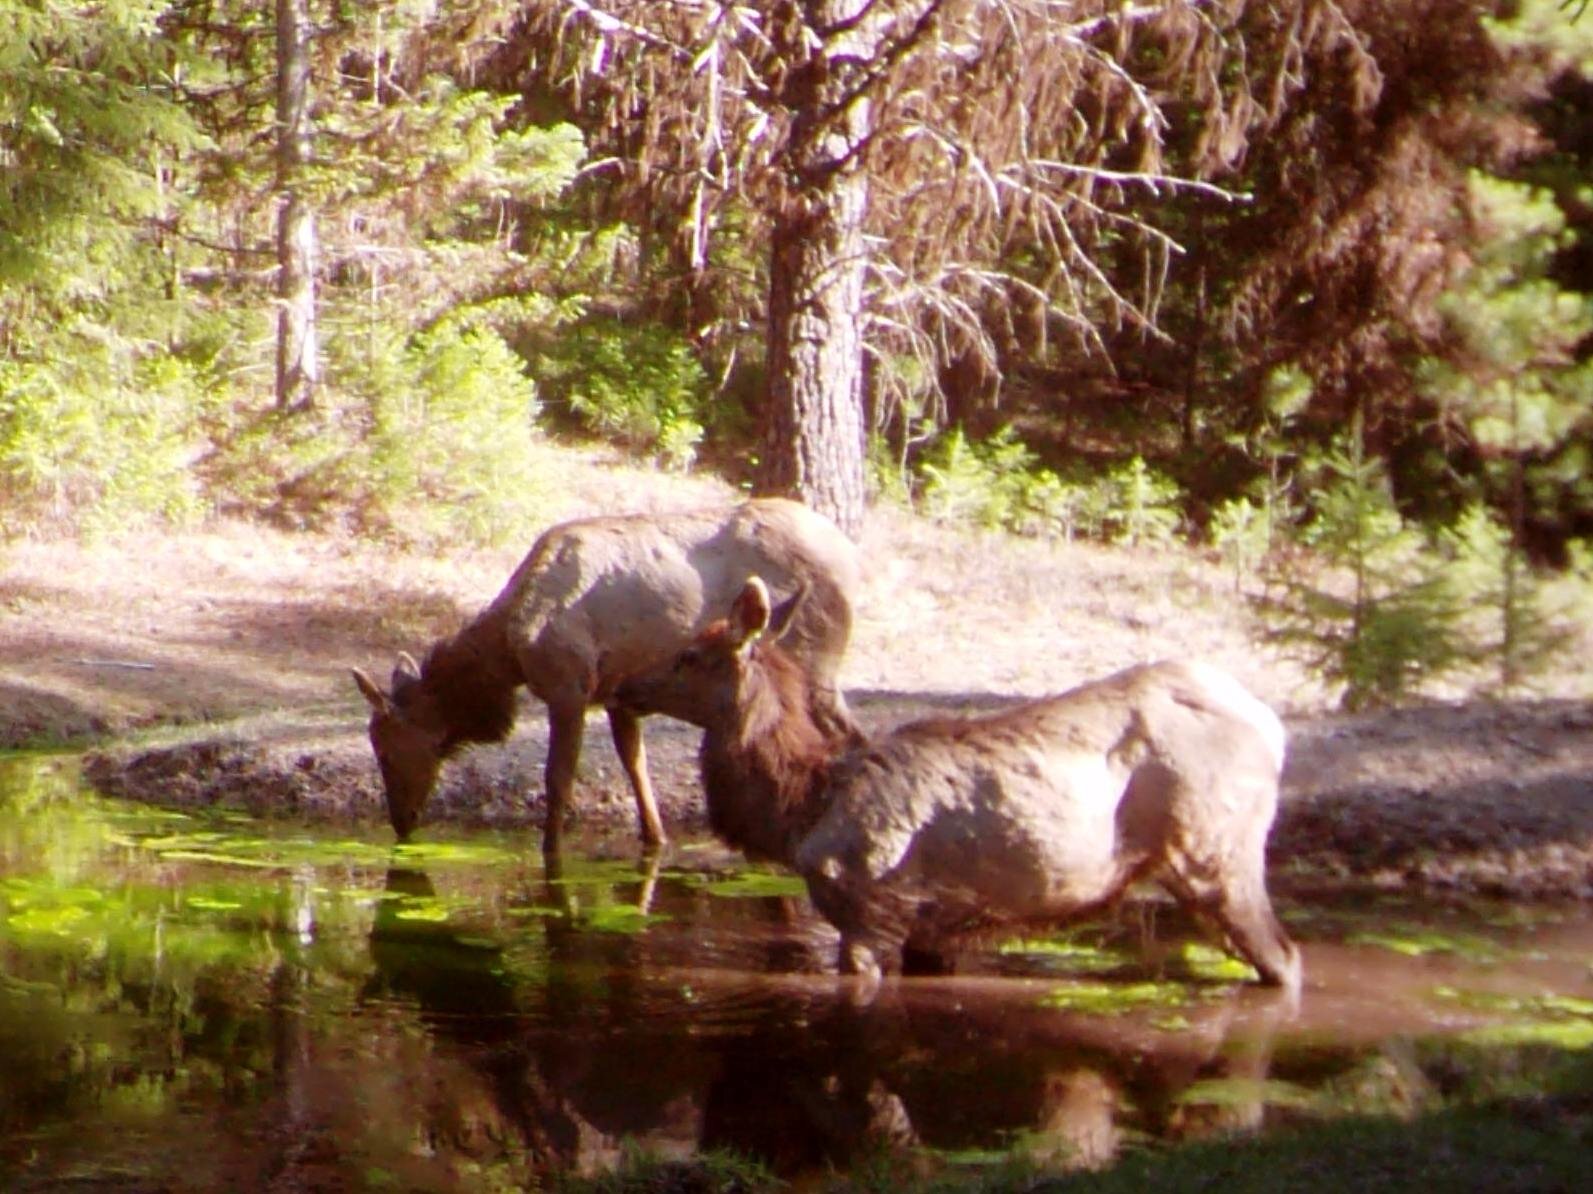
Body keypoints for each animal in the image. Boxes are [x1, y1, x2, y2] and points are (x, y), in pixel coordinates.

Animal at [356, 499, 866, 853]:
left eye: (384, 748)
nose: (400, 821)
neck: (509, 657)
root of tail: (852, 556)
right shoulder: (617, 694)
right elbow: (635, 766)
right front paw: (656, 841)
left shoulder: (568, 688)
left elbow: (558, 780)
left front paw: (551, 853)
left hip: (814, 663)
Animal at [614, 579, 1299, 993]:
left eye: (687, 656)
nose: (624, 686)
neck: (802, 809)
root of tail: (1273, 728)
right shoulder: (932, 928)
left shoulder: (871, 907)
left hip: (1217, 852)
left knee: (1285, 959)